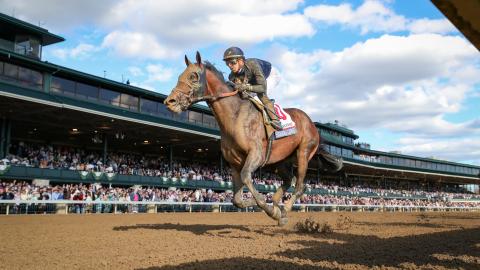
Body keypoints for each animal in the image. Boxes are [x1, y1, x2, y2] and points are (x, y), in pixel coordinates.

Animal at [165, 51, 342, 225]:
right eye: (180, 75)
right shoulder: (234, 163)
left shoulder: (256, 155)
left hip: (303, 153)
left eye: (193, 76)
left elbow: (247, 179)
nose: (169, 101)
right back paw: (277, 203)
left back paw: (283, 209)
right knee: (288, 180)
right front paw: (267, 205)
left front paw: (270, 209)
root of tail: (312, 124)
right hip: (281, 160)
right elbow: (237, 200)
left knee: (300, 186)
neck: (235, 116)